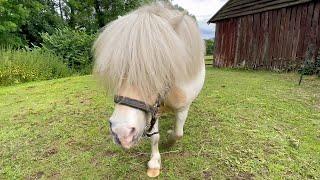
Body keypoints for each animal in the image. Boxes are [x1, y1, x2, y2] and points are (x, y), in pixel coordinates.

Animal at [92, 2, 205, 178]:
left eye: (160, 67)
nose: (122, 133)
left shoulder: (182, 108)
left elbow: (178, 133)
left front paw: (168, 142)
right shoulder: (153, 110)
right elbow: (155, 137)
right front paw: (154, 163)